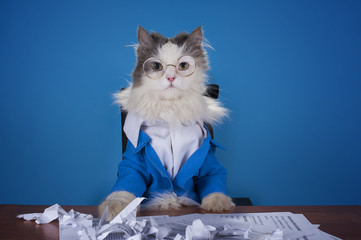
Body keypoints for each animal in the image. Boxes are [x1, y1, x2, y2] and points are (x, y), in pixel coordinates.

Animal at [98, 25, 233, 219]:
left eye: (183, 66)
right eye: (156, 66)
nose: (170, 78)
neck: (170, 117)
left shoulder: (208, 161)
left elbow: (214, 183)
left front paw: (218, 204)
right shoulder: (134, 162)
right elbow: (123, 191)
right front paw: (114, 209)